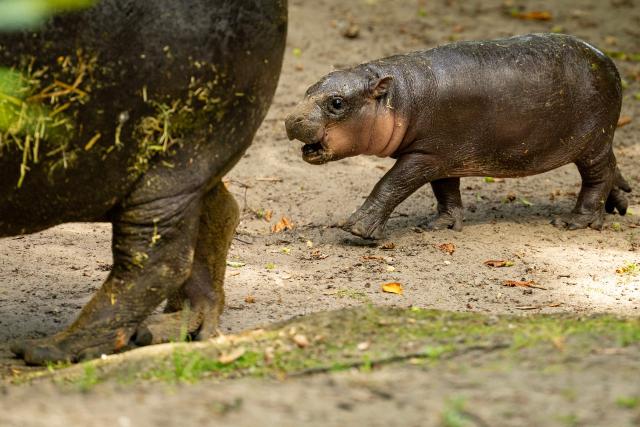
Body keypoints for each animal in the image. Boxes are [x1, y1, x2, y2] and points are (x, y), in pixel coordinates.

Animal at [285, 33, 631, 240]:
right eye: (308, 89)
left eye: (337, 103)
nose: (290, 120)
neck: (399, 96)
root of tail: (607, 60)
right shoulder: (442, 154)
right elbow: (446, 190)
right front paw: (438, 226)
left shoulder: (424, 155)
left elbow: (390, 184)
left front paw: (356, 229)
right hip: (599, 140)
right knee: (612, 166)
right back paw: (619, 204)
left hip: (591, 142)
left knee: (597, 177)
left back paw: (574, 222)